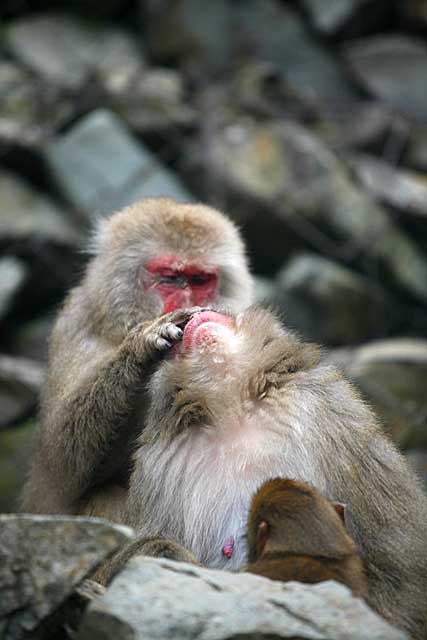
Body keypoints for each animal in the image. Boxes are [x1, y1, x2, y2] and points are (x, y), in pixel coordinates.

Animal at [20, 199, 254, 520]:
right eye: (169, 278)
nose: (189, 304)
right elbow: (60, 471)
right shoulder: (77, 326)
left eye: (200, 280)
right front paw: (142, 345)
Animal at [122, 308, 426, 636]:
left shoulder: (334, 415)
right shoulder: (158, 468)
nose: (199, 314)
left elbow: (398, 564)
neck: (234, 412)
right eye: (177, 339)